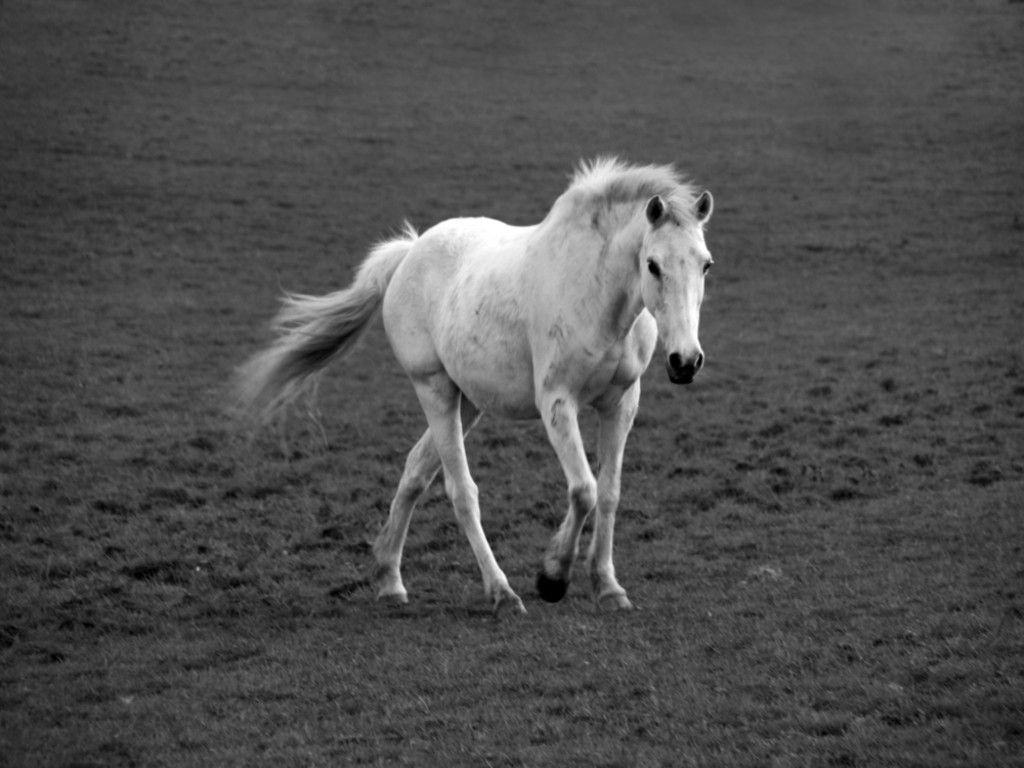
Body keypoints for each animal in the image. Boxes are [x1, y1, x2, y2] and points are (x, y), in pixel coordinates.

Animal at [235, 157, 714, 614]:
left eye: (706, 264)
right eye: (652, 265)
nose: (686, 362)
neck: (595, 291)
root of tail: (409, 252)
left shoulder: (621, 402)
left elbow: (610, 493)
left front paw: (608, 587)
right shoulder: (557, 402)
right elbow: (584, 490)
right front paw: (552, 578)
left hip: (468, 402)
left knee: (415, 470)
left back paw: (389, 579)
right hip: (435, 391)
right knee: (461, 491)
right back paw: (502, 593)